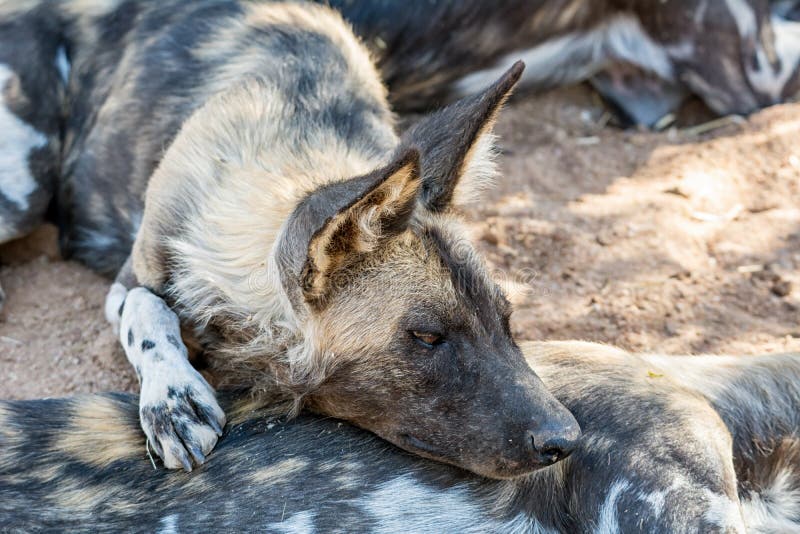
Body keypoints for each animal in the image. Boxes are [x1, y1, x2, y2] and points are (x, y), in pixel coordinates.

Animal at [3, 0, 584, 478]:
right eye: (426, 336)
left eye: (506, 320)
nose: (567, 439)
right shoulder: (133, 276)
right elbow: (147, 312)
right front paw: (174, 399)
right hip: (23, 190)